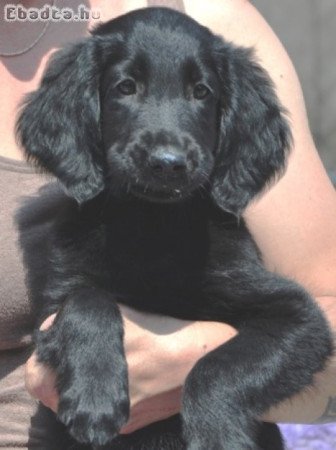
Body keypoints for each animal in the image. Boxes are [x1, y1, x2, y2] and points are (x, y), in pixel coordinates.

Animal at [17, 7, 332, 450]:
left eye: (201, 92)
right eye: (126, 87)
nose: (168, 163)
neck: (154, 226)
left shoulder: (298, 317)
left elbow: (216, 368)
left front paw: (216, 435)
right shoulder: (52, 312)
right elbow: (87, 301)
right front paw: (95, 399)